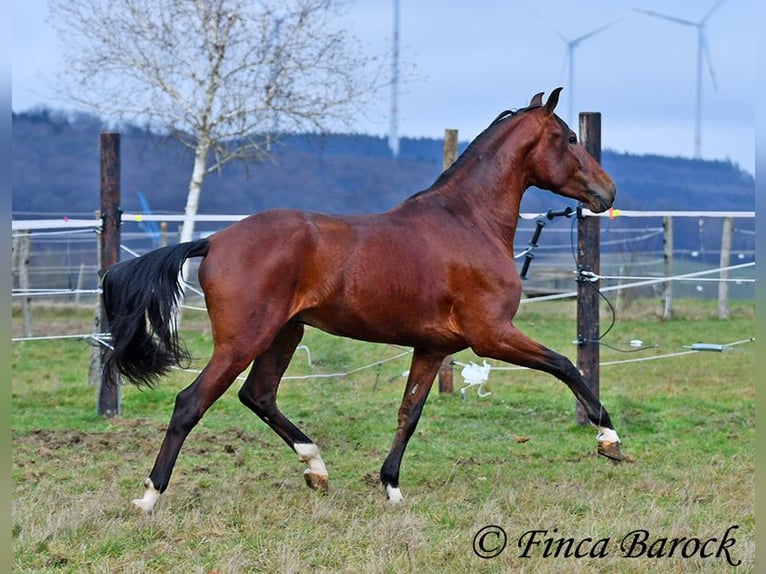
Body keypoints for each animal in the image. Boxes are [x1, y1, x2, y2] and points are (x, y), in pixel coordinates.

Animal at [102, 87, 623, 513]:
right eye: (569, 137)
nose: (609, 191)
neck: (468, 222)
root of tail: (213, 241)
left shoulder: (433, 348)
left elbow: (409, 414)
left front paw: (391, 487)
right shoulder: (491, 335)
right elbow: (565, 365)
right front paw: (609, 439)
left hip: (285, 333)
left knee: (258, 395)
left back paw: (316, 468)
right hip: (244, 339)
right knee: (191, 402)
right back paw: (149, 496)